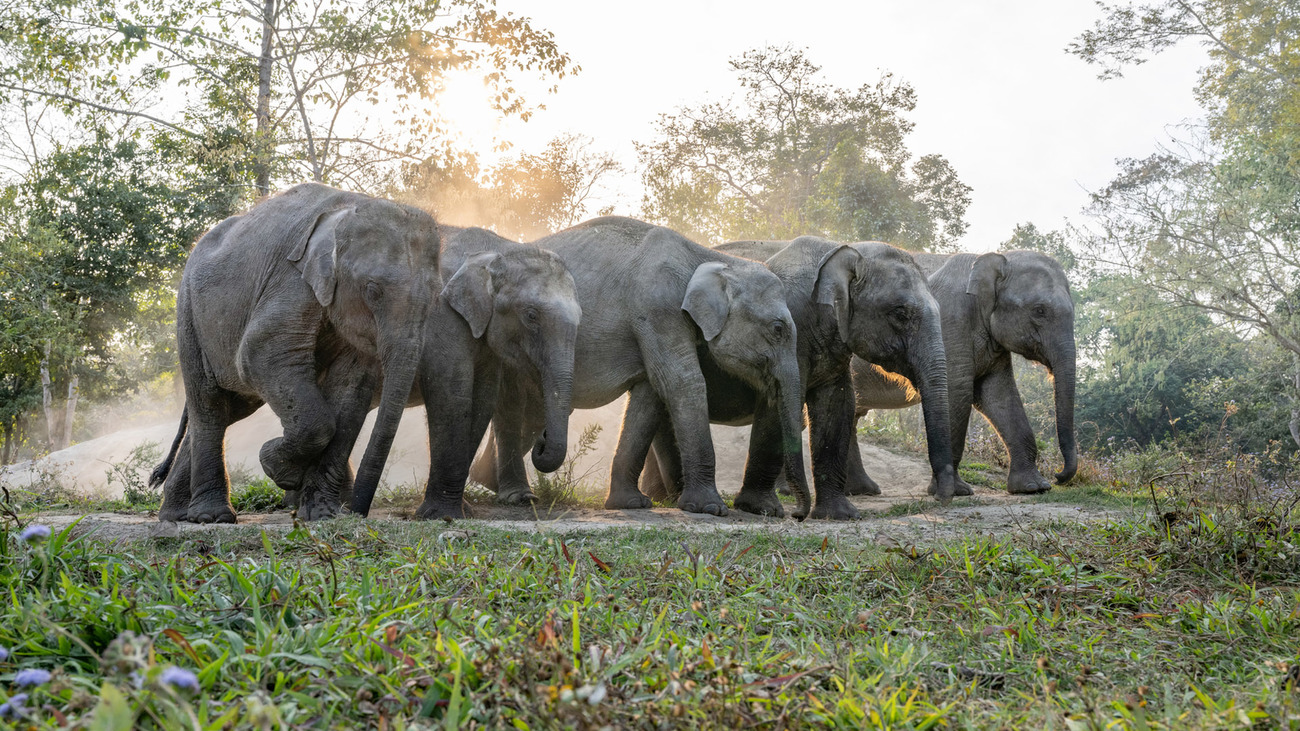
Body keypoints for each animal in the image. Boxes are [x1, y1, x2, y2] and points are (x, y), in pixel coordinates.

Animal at [152, 183, 441, 522]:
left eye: (437, 295)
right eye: (373, 290)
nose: (357, 512)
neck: (353, 208)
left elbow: (350, 389)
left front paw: (323, 513)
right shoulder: (291, 280)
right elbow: (259, 355)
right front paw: (278, 469)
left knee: (232, 408)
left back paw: (174, 515)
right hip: (189, 314)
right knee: (210, 402)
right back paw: (212, 517)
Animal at [467, 215, 811, 517]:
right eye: (778, 329)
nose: (796, 515)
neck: (708, 257)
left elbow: (649, 394)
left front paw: (631, 504)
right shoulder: (658, 309)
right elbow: (683, 382)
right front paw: (710, 509)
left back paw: (491, 482)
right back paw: (515, 494)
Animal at [637, 236, 956, 515]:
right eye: (900, 313)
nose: (942, 496)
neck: (842, 249)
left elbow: (836, 408)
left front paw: (839, 515)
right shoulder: (790, 334)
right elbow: (777, 405)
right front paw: (761, 509)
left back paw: (661, 497)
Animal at [847, 249, 1081, 494]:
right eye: (1039, 311)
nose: (1058, 476)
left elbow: (999, 394)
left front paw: (1033, 487)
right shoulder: (950, 322)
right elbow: (956, 391)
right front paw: (955, 491)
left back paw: (863, 490)